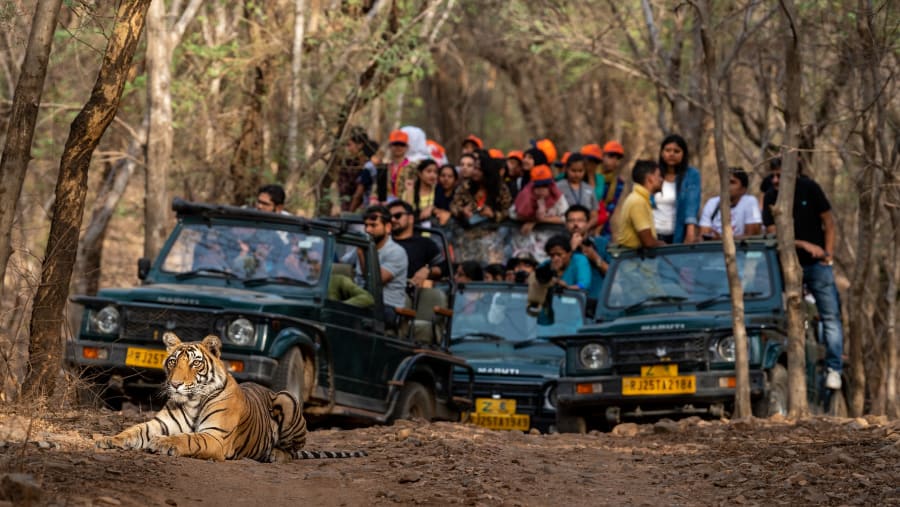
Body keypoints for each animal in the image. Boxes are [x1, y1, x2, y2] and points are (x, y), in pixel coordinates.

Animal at [96, 332, 366, 462]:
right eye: (172, 362)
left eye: (195, 363)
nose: (175, 384)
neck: (192, 401)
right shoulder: (159, 423)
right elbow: (133, 431)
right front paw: (107, 439)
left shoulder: (216, 436)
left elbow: (188, 438)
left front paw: (164, 443)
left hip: (287, 398)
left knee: (293, 450)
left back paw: (275, 455)